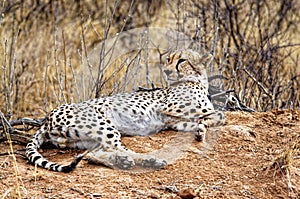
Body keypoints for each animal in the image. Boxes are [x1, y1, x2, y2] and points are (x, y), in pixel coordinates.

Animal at [26, 49, 225, 173]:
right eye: (169, 59)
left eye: (182, 60)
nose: (167, 71)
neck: (198, 81)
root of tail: (47, 119)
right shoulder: (170, 107)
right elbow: (215, 113)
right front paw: (203, 126)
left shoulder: (173, 120)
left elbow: (213, 116)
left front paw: (200, 130)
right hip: (103, 125)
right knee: (118, 148)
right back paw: (149, 160)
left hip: (83, 139)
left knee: (94, 154)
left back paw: (122, 161)